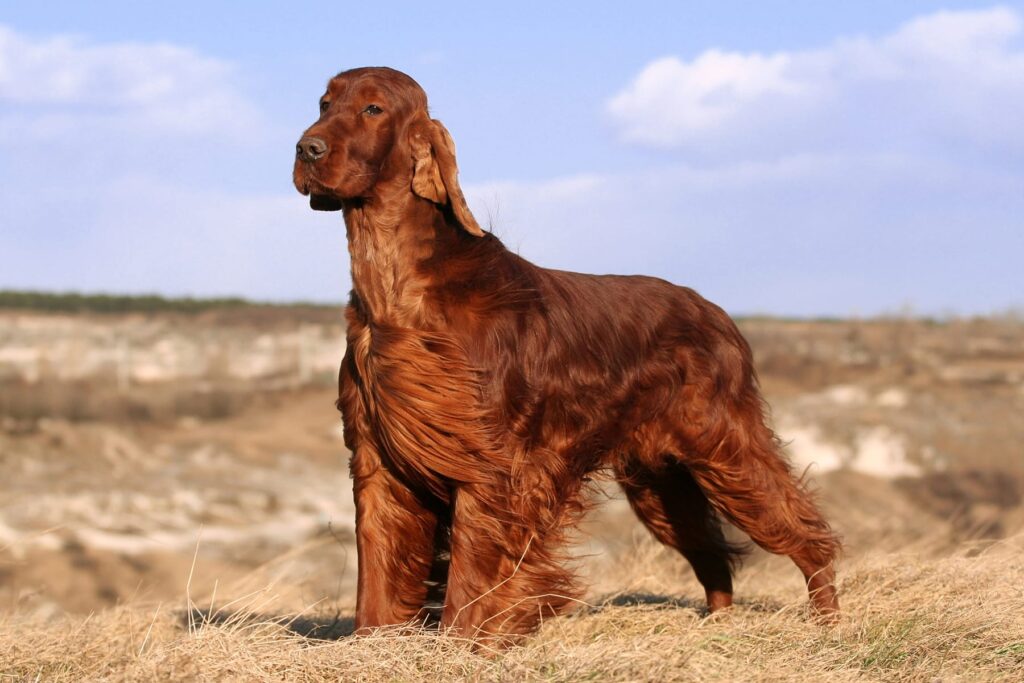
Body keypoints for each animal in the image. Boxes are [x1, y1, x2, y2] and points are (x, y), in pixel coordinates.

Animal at [292, 66, 835, 643]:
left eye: (372, 109)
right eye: (324, 103)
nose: (306, 147)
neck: (396, 291)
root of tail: (717, 314)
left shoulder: (492, 468)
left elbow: (470, 582)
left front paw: (461, 646)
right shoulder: (376, 461)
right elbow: (376, 577)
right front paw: (368, 645)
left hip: (727, 452)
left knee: (807, 534)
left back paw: (829, 623)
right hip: (662, 481)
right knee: (712, 557)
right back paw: (716, 630)